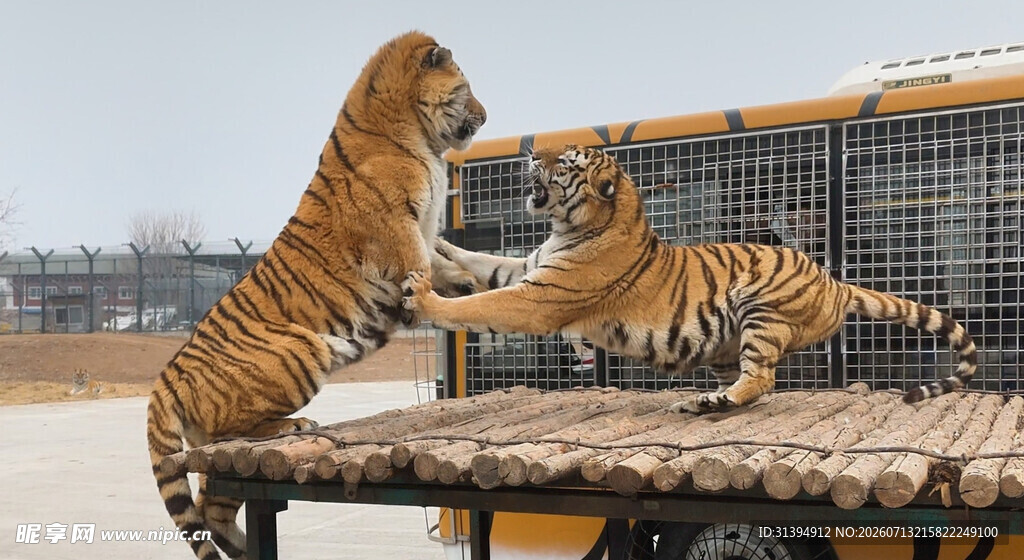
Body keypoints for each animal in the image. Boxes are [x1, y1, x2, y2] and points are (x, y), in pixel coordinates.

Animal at [147, 31, 486, 560]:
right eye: (466, 88)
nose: (485, 116)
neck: (416, 136)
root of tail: (166, 377)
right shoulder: (402, 230)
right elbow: (423, 267)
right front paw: (436, 299)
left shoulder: (427, 227)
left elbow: (445, 262)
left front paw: (467, 285)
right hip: (301, 349)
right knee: (230, 441)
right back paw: (291, 427)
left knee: (212, 507)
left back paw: (245, 547)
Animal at [406, 144, 977, 414]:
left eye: (563, 162)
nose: (531, 154)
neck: (572, 226)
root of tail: (834, 281)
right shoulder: (529, 267)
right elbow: (480, 261)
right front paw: (437, 244)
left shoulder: (541, 295)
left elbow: (481, 305)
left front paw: (426, 298)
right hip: (724, 344)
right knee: (752, 383)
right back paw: (704, 401)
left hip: (759, 305)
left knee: (763, 379)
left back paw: (711, 403)